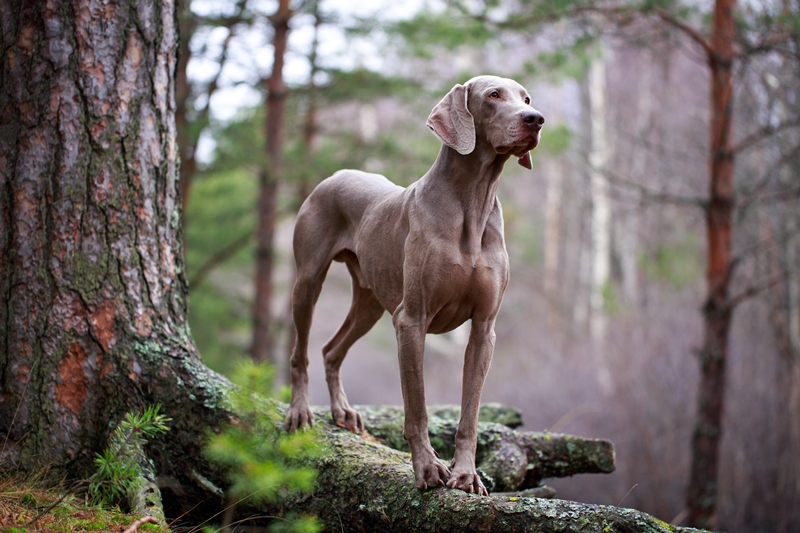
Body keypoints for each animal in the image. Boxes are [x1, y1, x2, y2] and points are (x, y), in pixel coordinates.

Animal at [282, 75, 544, 494]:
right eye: (493, 95)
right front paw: (428, 469)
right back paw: (300, 411)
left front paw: (466, 474)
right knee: (301, 352)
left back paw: (342, 411)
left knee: (330, 350)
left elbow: (470, 413)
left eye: (527, 98)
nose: (535, 119)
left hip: (370, 302)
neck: (473, 201)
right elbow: (416, 408)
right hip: (307, 281)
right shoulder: (411, 320)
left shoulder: (484, 329)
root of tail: (336, 174)